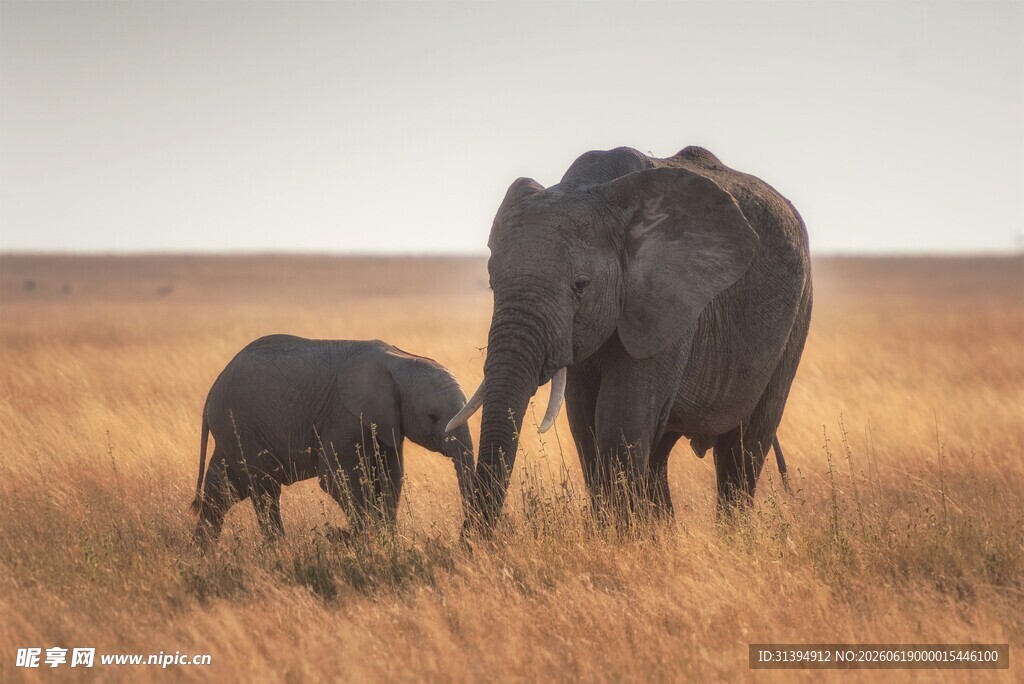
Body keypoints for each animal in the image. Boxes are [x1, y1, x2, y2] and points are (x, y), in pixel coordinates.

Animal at [191, 335, 475, 544]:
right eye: (432, 417)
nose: (465, 537)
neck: (401, 359)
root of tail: (212, 391)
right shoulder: (342, 416)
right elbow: (337, 479)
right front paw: (365, 541)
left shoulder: (386, 422)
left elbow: (390, 477)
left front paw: (387, 541)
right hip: (240, 426)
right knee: (264, 489)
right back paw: (279, 549)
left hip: (233, 431)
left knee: (222, 490)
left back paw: (203, 552)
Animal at [447, 145, 812, 525]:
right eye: (492, 284)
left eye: (580, 286)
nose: (474, 537)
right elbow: (586, 427)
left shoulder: (667, 302)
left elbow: (620, 424)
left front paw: (621, 535)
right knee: (659, 454)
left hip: (797, 315)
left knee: (743, 448)